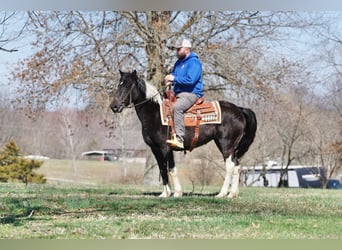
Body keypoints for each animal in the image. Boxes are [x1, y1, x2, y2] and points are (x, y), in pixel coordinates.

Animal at [110, 70, 256, 199]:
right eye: (118, 84)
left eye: (128, 85)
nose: (114, 106)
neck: (155, 114)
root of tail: (240, 110)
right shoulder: (155, 149)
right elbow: (162, 169)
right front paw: (165, 194)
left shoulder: (165, 148)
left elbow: (171, 169)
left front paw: (177, 193)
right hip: (229, 147)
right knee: (237, 165)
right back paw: (232, 194)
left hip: (226, 145)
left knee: (230, 166)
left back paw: (222, 194)